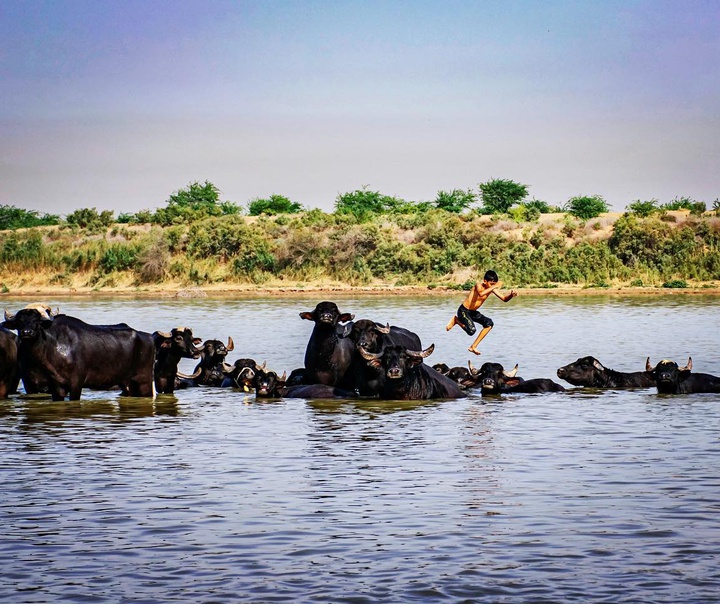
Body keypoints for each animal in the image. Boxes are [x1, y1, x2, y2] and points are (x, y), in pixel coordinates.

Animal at [3, 304, 155, 398]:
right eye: (19, 321)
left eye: (37, 321)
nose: (26, 332)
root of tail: (148, 337)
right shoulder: (56, 386)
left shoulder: (76, 383)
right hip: (125, 382)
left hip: (144, 381)